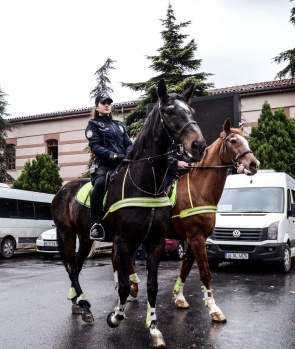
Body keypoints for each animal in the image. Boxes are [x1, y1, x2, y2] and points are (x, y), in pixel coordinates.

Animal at [51, 79, 207, 348]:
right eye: (170, 112)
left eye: (192, 111)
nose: (198, 146)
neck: (146, 184)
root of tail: (62, 190)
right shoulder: (123, 242)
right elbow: (123, 286)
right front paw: (116, 316)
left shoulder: (154, 242)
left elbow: (152, 286)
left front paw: (154, 329)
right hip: (68, 234)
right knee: (72, 268)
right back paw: (84, 305)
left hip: (85, 237)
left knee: (77, 267)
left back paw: (79, 304)